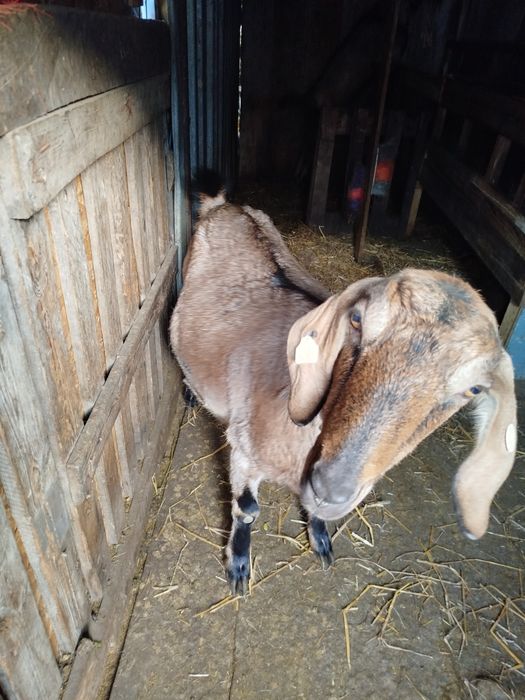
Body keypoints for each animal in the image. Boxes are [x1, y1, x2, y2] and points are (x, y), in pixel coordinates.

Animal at [170, 191, 517, 595]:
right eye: (357, 320)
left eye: (474, 389)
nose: (331, 486)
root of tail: (226, 205)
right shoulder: (242, 446)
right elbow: (247, 509)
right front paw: (239, 566)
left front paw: (320, 539)